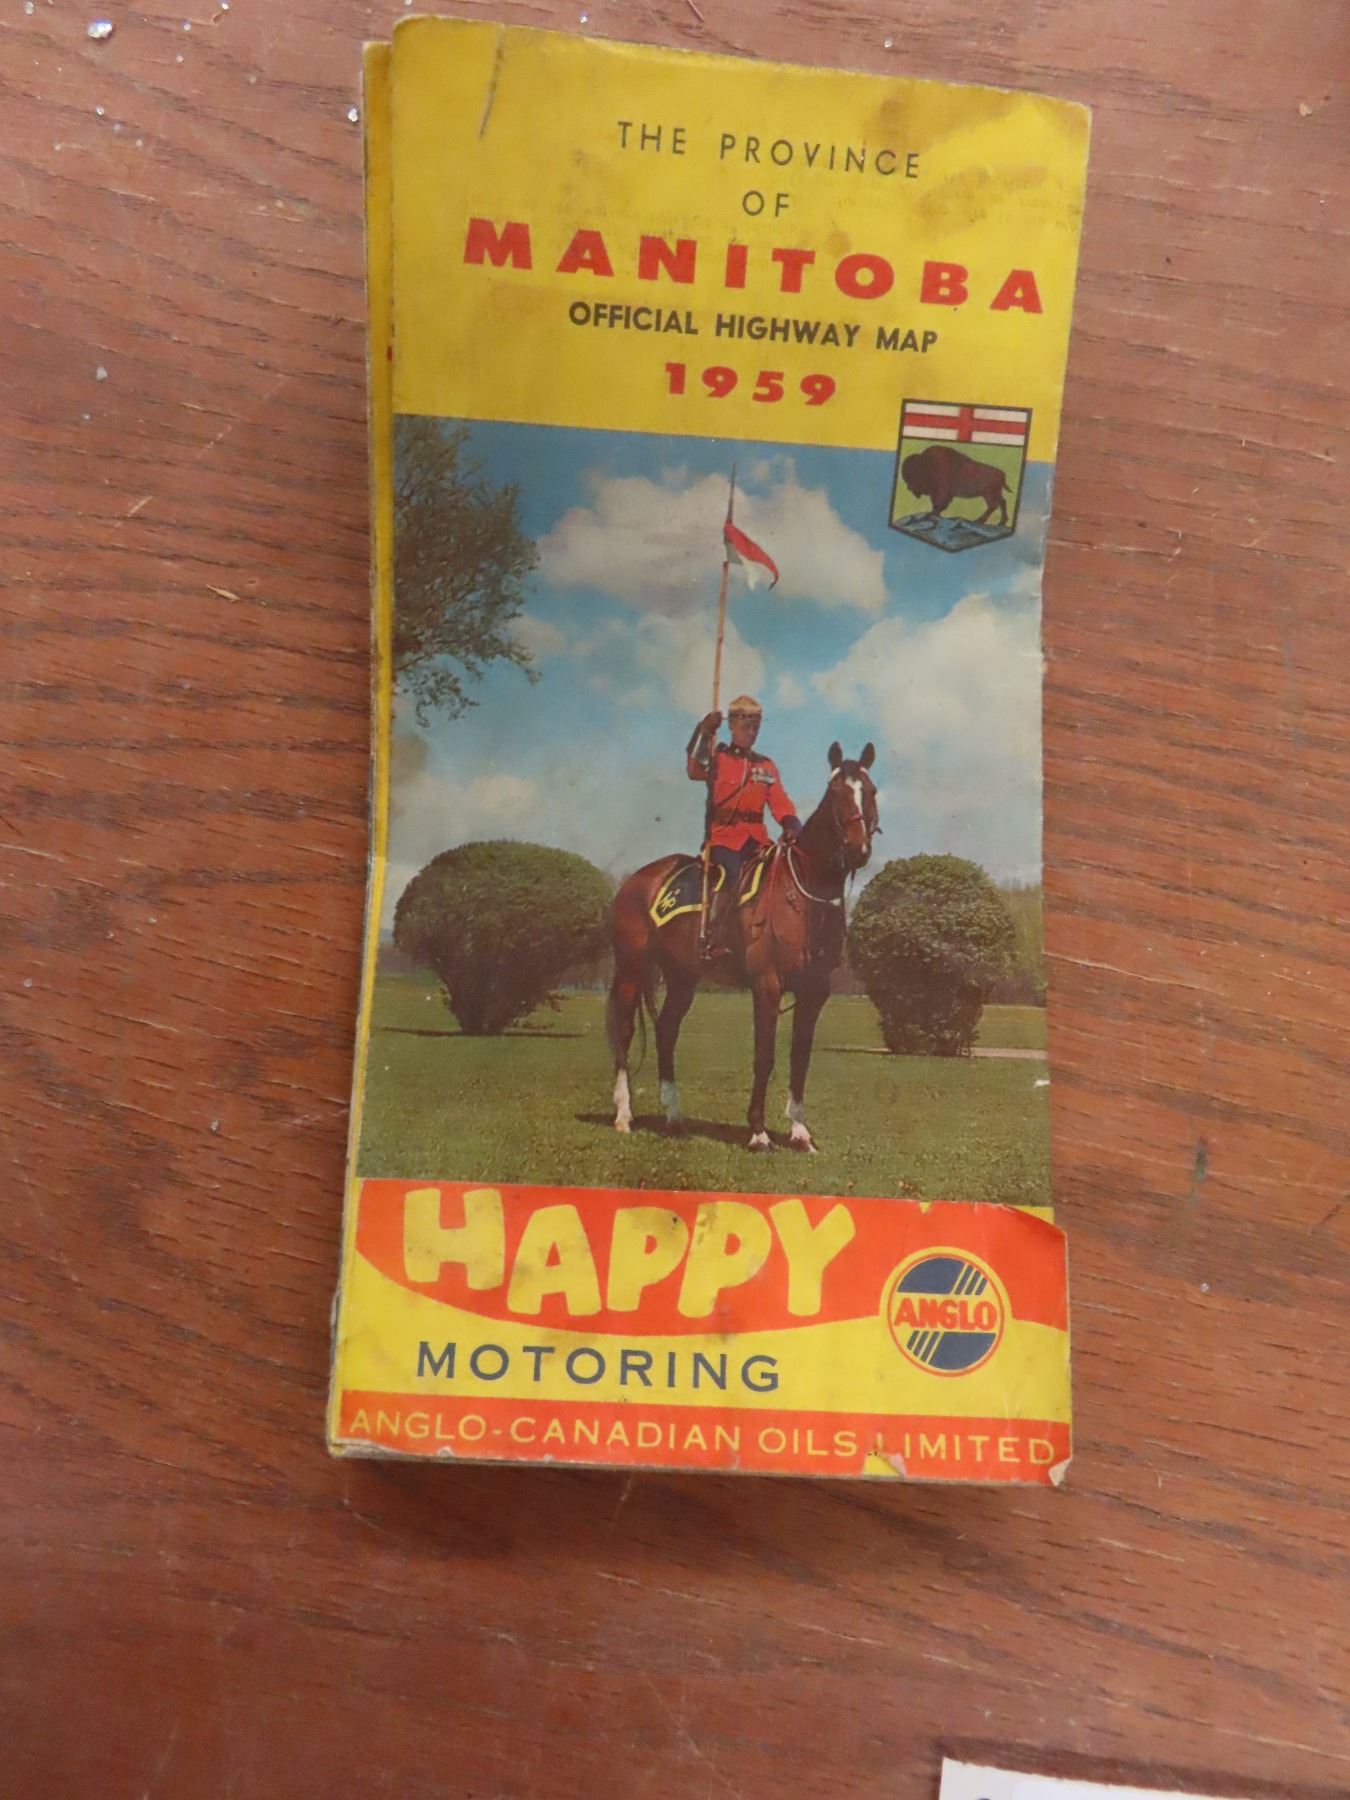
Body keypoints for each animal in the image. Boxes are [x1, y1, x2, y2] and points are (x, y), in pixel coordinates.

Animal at [607, 742, 879, 1152]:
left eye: (871, 790)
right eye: (835, 793)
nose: (858, 849)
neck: (805, 892)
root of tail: (637, 879)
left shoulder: (815, 990)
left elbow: (800, 1057)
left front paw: (800, 1132)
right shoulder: (767, 983)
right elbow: (764, 1056)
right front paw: (758, 1132)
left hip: (682, 976)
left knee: (666, 1030)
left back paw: (674, 1117)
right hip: (630, 968)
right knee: (624, 1031)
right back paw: (624, 1115)